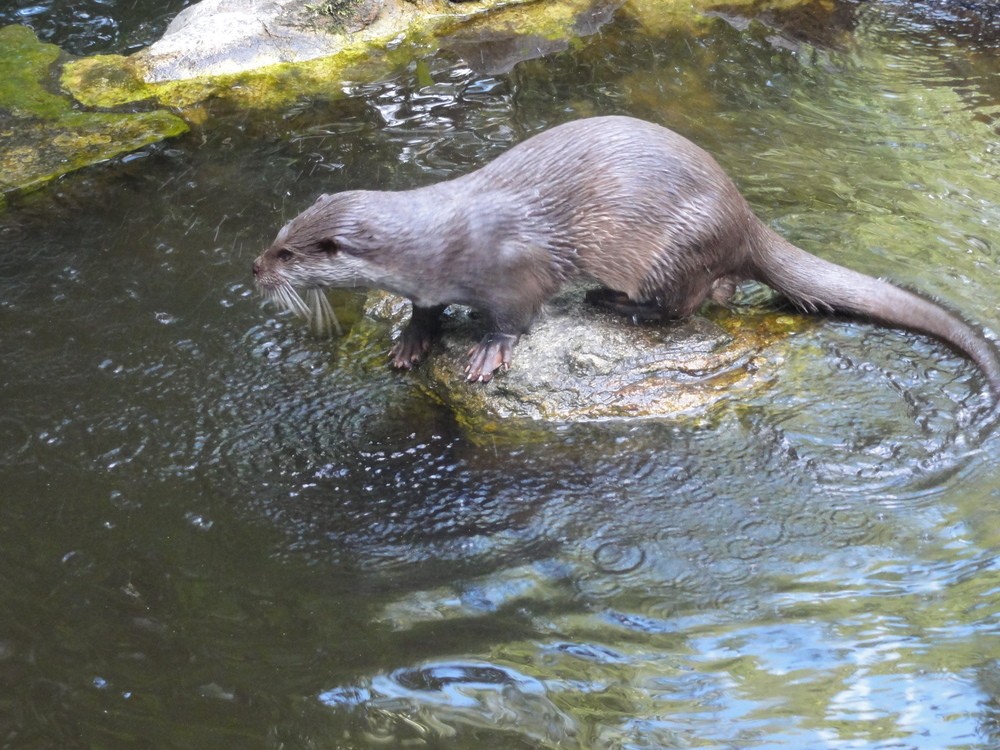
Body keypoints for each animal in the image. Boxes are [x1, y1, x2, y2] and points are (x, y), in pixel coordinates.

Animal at [250, 117, 1000, 394]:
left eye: (287, 253)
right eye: (276, 236)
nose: (254, 268)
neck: (439, 240)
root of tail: (743, 215)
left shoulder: (512, 269)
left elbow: (515, 317)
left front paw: (488, 352)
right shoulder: (429, 282)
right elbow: (424, 310)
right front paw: (412, 339)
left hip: (675, 246)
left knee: (682, 305)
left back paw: (613, 302)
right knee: (722, 291)